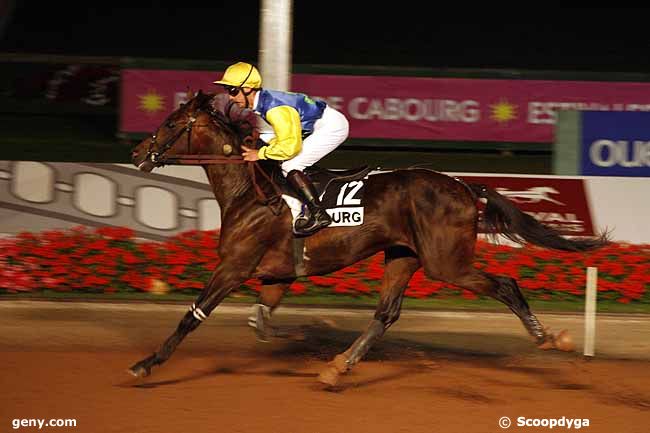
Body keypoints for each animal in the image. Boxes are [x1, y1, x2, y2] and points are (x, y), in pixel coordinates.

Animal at [128, 90, 608, 384]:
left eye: (170, 123)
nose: (136, 152)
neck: (250, 191)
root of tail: (466, 187)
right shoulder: (278, 274)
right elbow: (259, 319)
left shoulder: (233, 267)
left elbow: (193, 316)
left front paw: (146, 363)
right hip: (402, 256)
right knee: (385, 314)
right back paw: (338, 366)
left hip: (446, 262)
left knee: (506, 285)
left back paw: (548, 337)